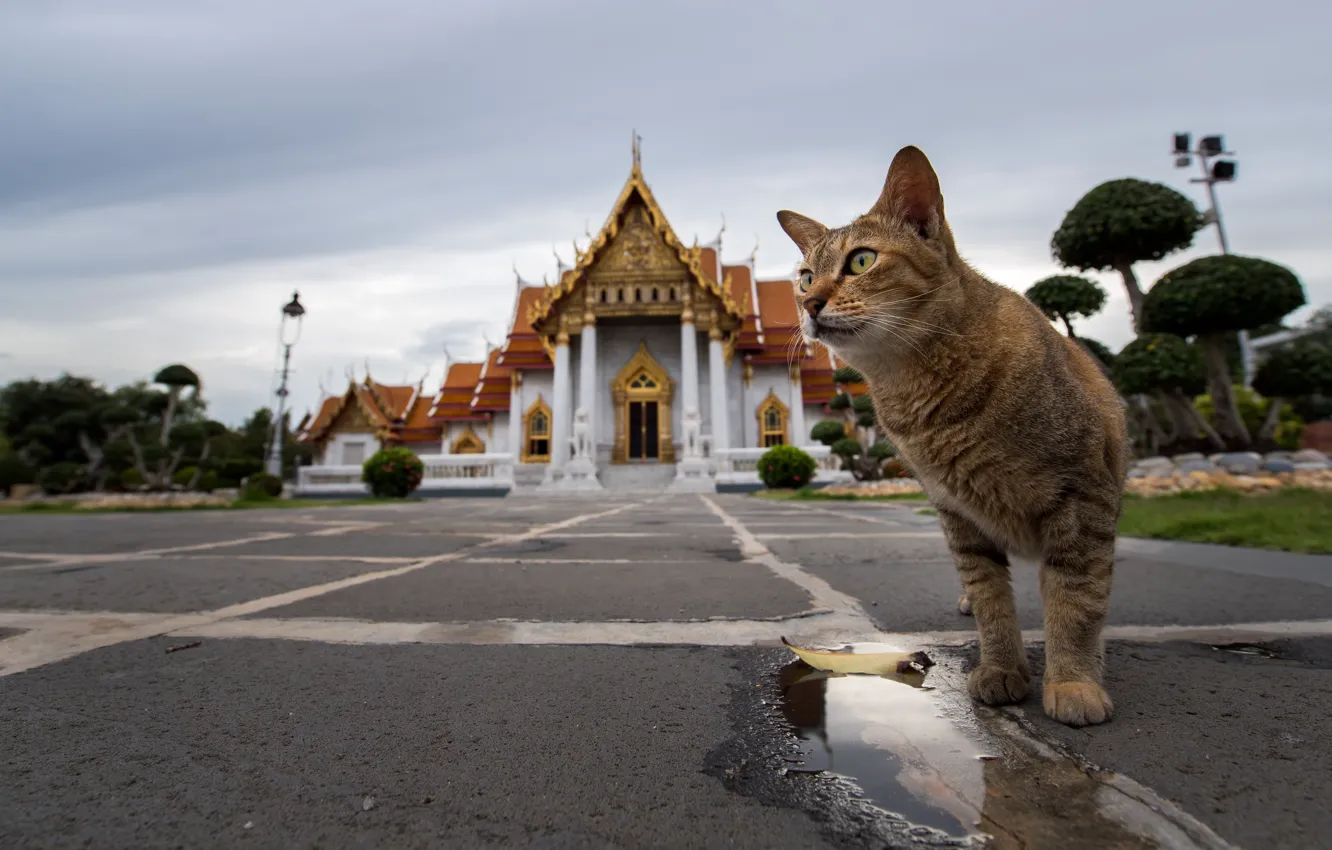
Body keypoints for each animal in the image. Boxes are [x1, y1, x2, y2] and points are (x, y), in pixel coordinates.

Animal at [777, 145, 1129, 724]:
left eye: (861, 261)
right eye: (805, 277)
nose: (809, 306)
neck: (922, 381)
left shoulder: (1084, 484)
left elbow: (1077, 593)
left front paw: (1074, 682)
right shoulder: (953, 504)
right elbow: (988, 593)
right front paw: (1001, 667)